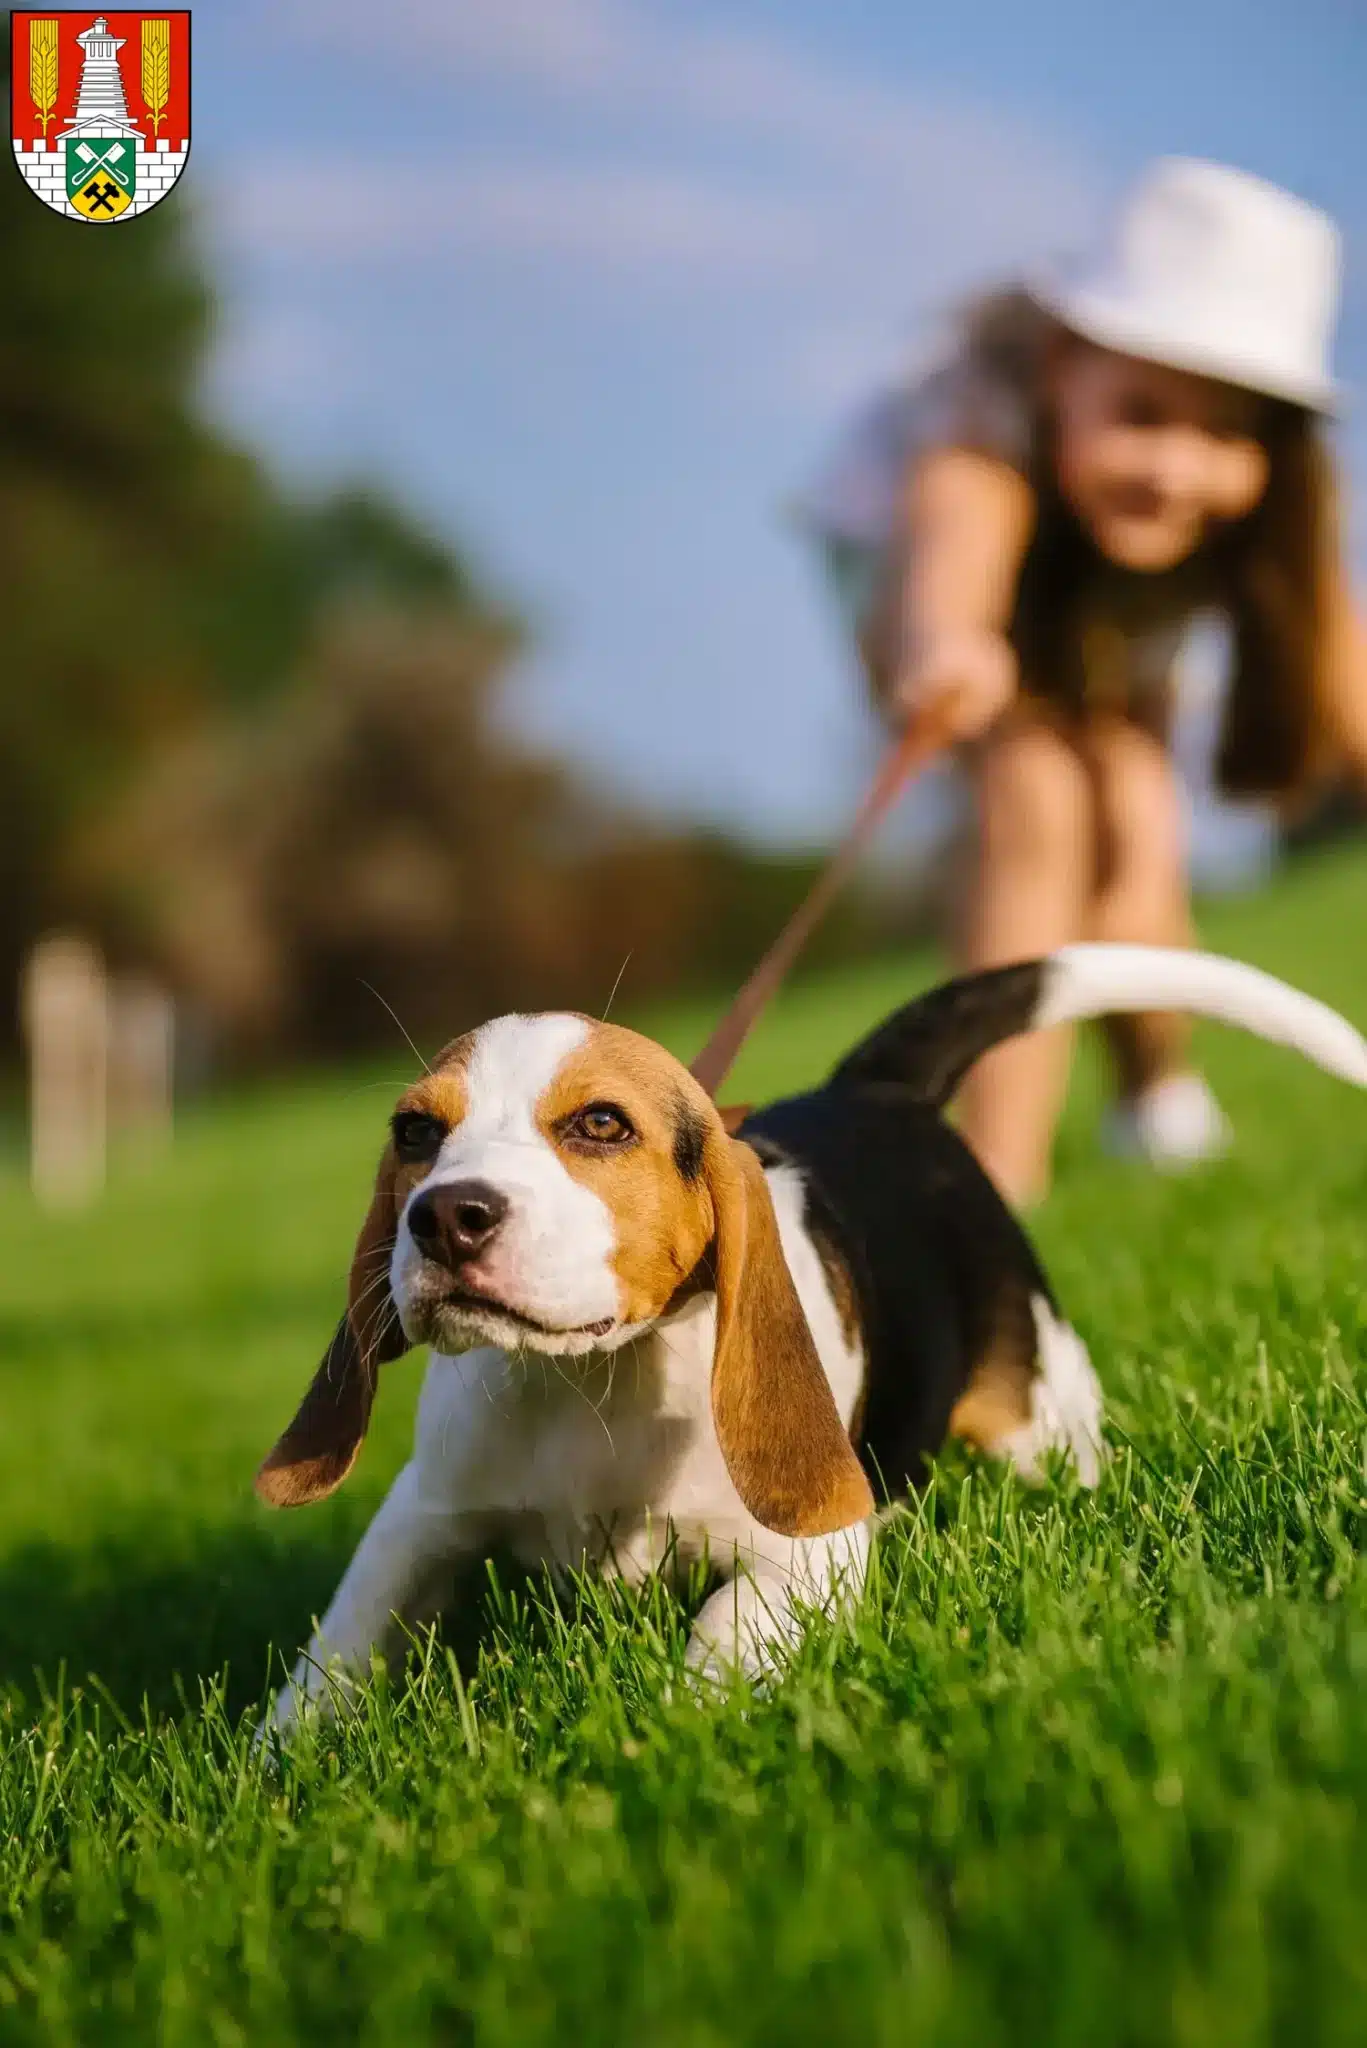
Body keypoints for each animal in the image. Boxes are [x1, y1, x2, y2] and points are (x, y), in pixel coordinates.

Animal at [259, 946, 1367, 1728]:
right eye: (415, 1133)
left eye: (601, 1125)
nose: (445, 1218)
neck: (596, 1379)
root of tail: (871, 1089)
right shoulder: (422, 1512)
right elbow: (340, 1647)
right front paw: (278, 1762)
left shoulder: (813, 1551)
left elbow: (719, 1630)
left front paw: (677, 1728)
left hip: (1040, 1411)